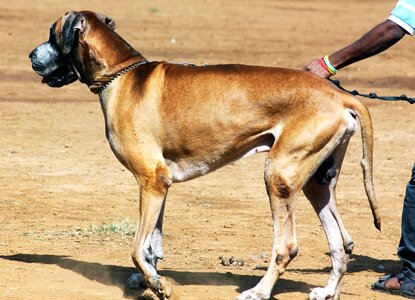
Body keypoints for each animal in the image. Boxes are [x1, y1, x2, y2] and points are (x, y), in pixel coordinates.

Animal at [28, 10, 380, 298]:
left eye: (51, 33)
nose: (30, 54)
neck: (121, 73)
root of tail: (339, 96)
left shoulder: (150, 180)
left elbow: (136, 248)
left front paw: (158, 285)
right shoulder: (161, 184)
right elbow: (151, 245)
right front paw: (148, 278)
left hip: (279, 176)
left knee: (287, 247)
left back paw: (259, 291)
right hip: (315, 182)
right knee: (341, 243)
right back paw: (328, 291)